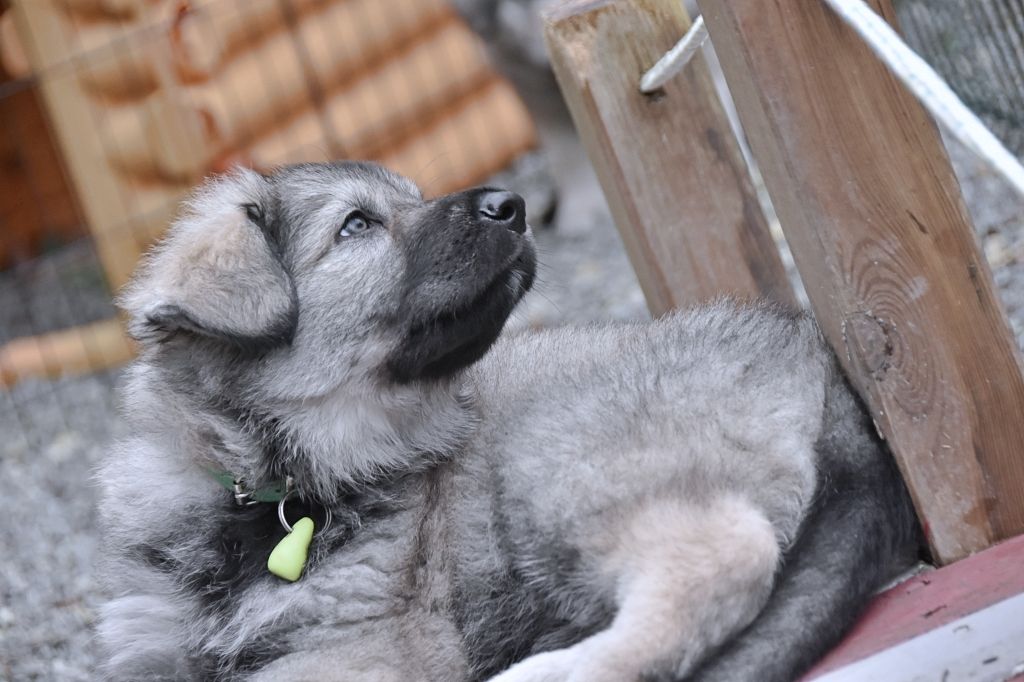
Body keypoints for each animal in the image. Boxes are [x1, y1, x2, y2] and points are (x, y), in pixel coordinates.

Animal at [97, 162, 921, 681]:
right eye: (356, 225)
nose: (511, 205)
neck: (258, 490)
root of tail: (816, 358)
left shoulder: (366, 646)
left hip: (554, 458)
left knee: (726, 559)